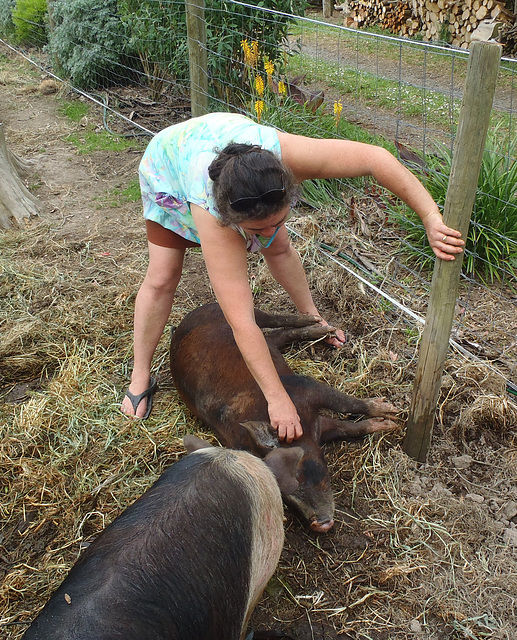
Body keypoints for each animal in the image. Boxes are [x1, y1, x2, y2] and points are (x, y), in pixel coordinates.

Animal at [167, 302, 398, 532]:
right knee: (277, 336)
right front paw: (386, 424)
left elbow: (347, 403)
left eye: (298, 471)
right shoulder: (318, 426)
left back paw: (321, 324)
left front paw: (391, 412)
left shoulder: (307, 388)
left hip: (236, 313)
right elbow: (348, 428)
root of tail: (185, 320)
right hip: (266, 339)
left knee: (274, 320)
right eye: (284, 496)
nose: (320, 525)